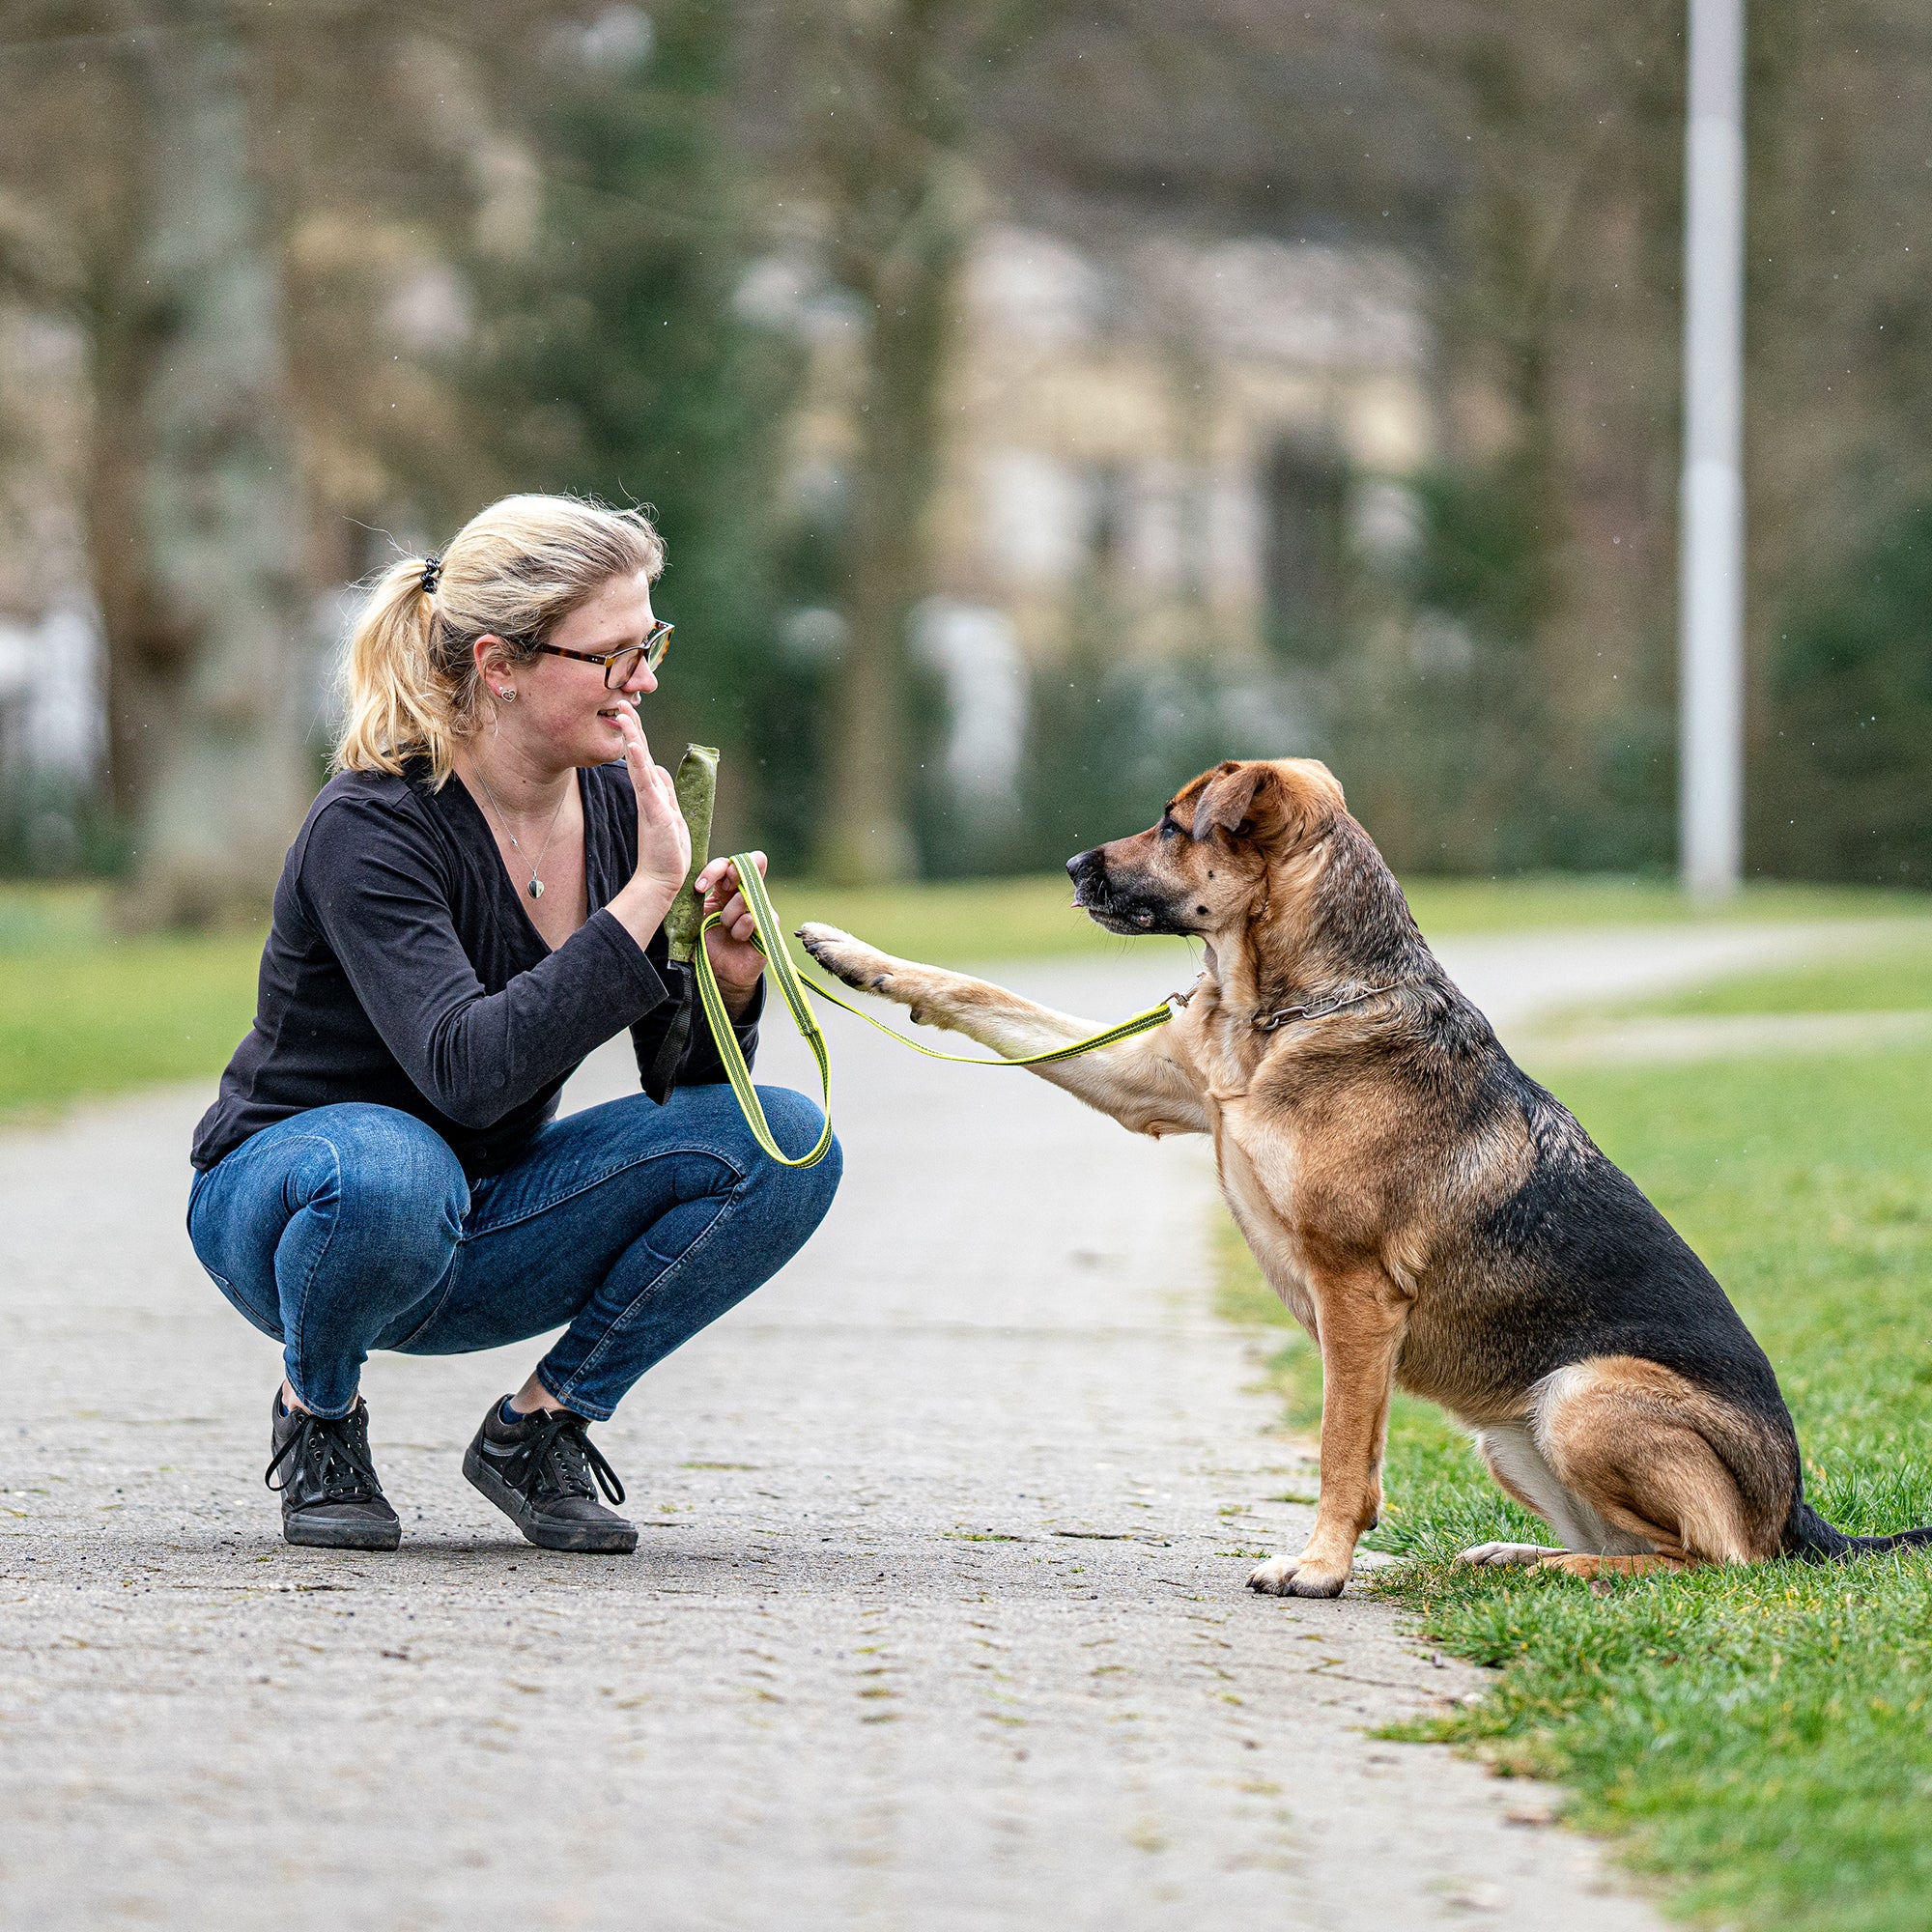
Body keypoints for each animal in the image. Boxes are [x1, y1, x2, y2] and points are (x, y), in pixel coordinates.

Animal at [800, 753, 1932, 1600]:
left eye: (1172, 826)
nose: (1072, 866)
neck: (1290, 1008)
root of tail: (1797, 1509)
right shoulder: (1142, 1086)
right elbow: (981, 994)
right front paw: (844, 951)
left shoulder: (1354, 1294)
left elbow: (1342, 1454)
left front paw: (1317, 1567)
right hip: (1516, 1437)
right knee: (1652, 1549)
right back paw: (1522, 1556)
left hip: (1584, 1393)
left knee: (1714, 1561)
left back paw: (1555, 1567)